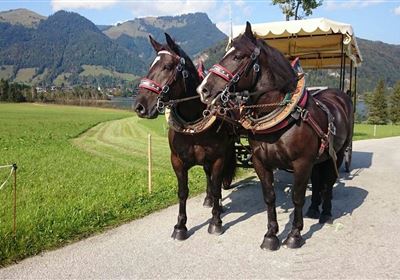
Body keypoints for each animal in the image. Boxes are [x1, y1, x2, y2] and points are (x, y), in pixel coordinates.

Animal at [134, 32, 236, 238]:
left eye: (167, 66)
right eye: (150, 66)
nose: (139, 106)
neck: (193, 121)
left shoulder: (218, 158)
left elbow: (216, 187)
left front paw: (216, 221)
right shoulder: (177, 161)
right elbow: (182, 192)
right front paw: (180, 226)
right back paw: (209, 200)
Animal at [197, 22, 354, 249]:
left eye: (238, 56)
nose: (203, 89)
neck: (282, 116)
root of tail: (340, 95)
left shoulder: (302, 163)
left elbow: (297, 197)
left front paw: (294, 235)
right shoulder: (261, 162)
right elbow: (269, 196)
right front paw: (271, 235)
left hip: (338, 153)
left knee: (329, 181)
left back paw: (325, 213)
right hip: (319, 158)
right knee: (317, 181)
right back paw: (314, 209)